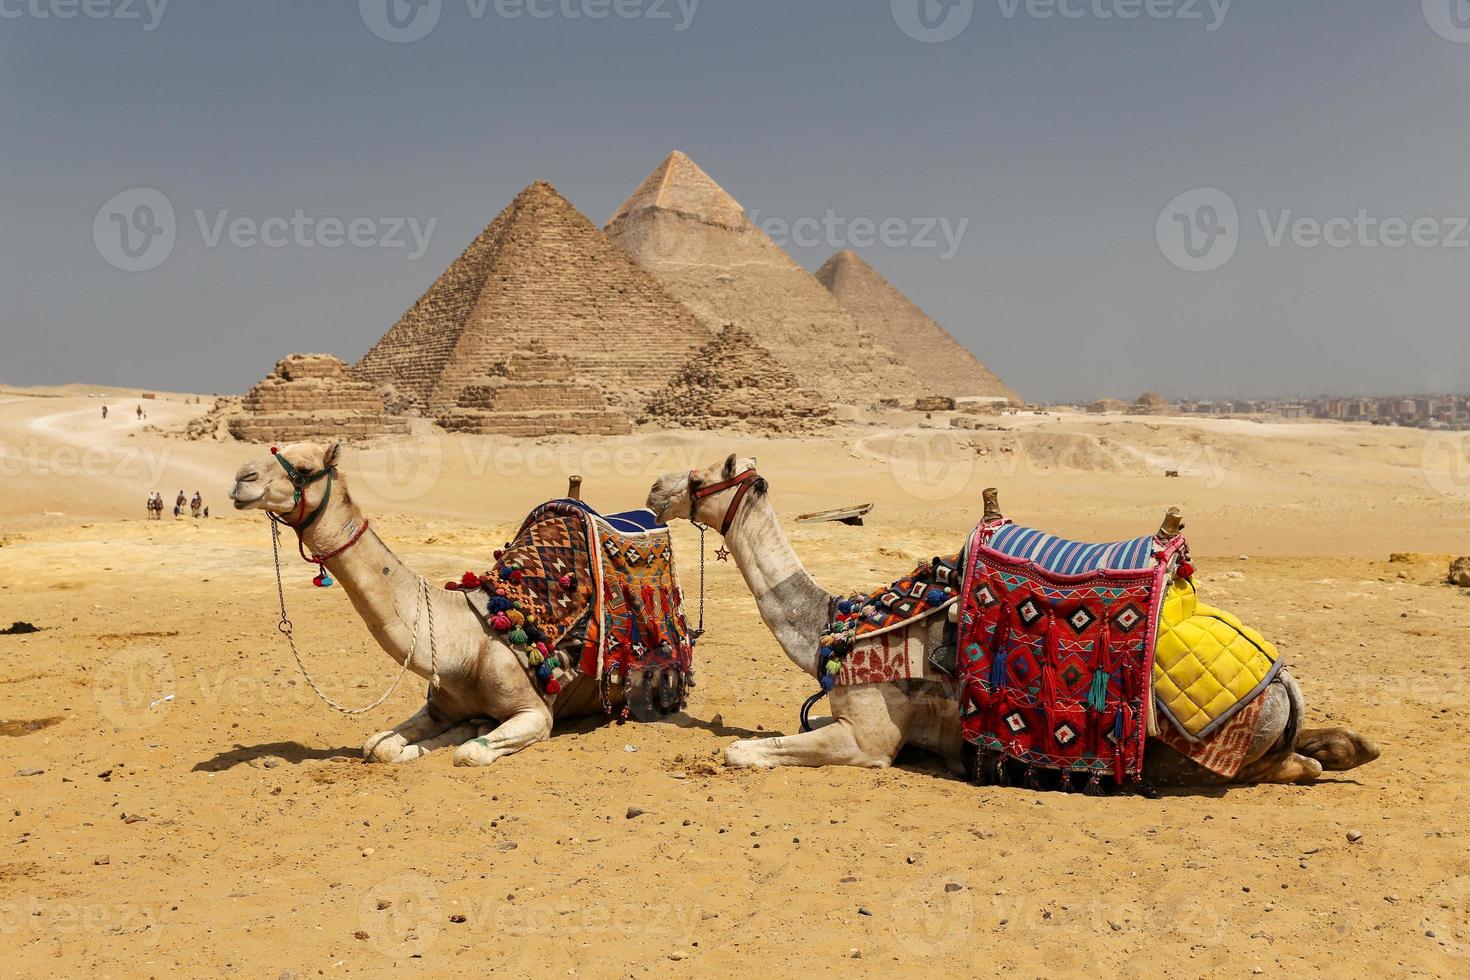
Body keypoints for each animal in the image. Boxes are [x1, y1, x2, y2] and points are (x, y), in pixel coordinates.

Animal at [227, 440, 602, 769]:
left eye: (304, 468)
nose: (242, 478)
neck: (468, 643)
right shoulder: (440, 706)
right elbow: (378, 747)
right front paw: (459, 729)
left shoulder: (536, 713)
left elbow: (468, 753)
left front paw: (470, 732)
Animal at [649, 455, 1381, 787]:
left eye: (703, 476)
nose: (656, 489)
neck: (837, 623)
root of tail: (1281, 682)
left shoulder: (872, 739)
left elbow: (741, 750)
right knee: (1312, 746)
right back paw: (1353, 746)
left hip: (1198, 754)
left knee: (1285, 769)